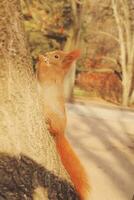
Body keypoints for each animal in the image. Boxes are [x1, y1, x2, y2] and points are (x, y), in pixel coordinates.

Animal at [36, 49, 89, 199]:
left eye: (56, 56)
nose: (46, 54)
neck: (57, 70)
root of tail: (61, 133)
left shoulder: (50, 78)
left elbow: (43, 73)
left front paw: (41, 60)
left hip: (53, 118)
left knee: (53, 129)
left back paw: (48, 126)